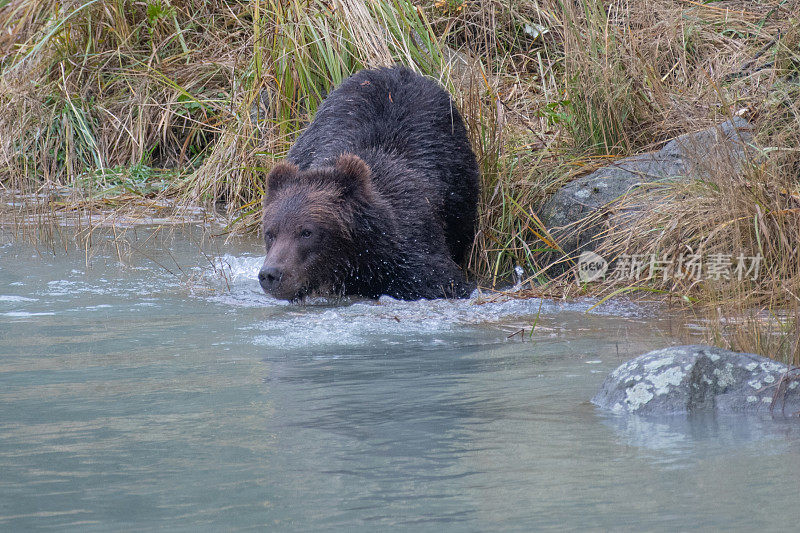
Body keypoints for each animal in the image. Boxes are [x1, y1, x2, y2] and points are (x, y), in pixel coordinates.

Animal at [260, 65, 478, 300]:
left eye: (307, 232)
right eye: (270, 233)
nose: (271, 274)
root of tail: (399, 69)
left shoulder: (413, 259)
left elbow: (443, 282)